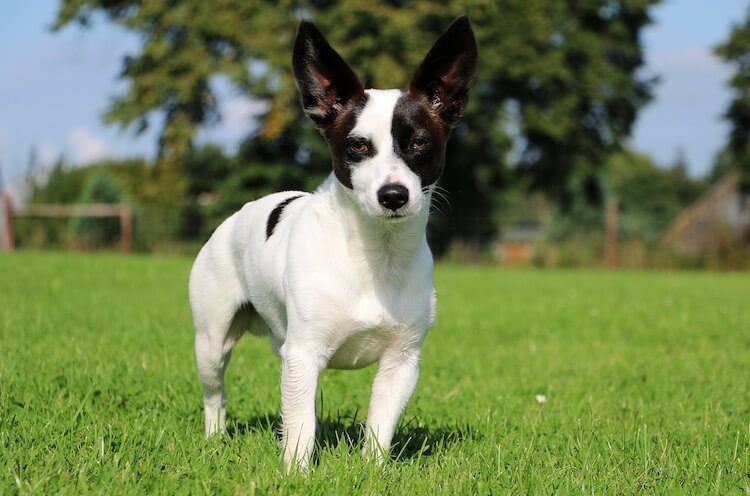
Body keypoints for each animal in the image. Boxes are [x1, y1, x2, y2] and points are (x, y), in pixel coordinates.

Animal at [191, 15, 478, 468]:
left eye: (419, 143)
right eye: (357, 146)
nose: (393, 195)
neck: (376, 257)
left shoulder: (402, 362)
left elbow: (379, 428)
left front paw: (373, 470)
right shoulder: (304, 355)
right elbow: (301, 427)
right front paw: (297, 472)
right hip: (212, 341)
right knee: (215, 396)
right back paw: (215, 438)